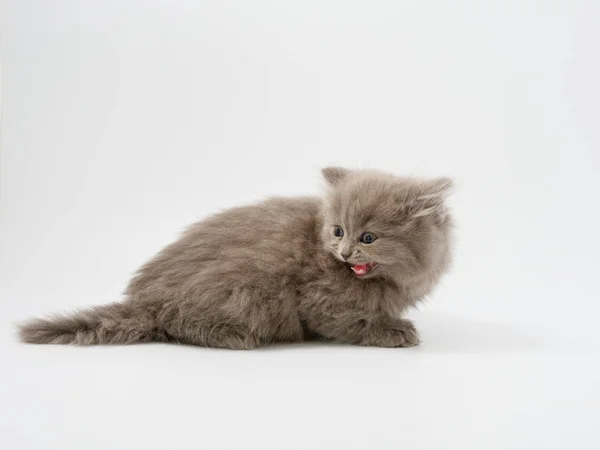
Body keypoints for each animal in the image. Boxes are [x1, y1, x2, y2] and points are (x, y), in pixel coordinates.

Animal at [17, 167, 454, 350]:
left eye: (368, 237)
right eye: (337, 231)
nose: (345, 252)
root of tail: (145, 302)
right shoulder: (321, 298)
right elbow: (351, 320)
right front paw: (393, 331)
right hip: (244, 291)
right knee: (178, 325)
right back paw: (236, 337)